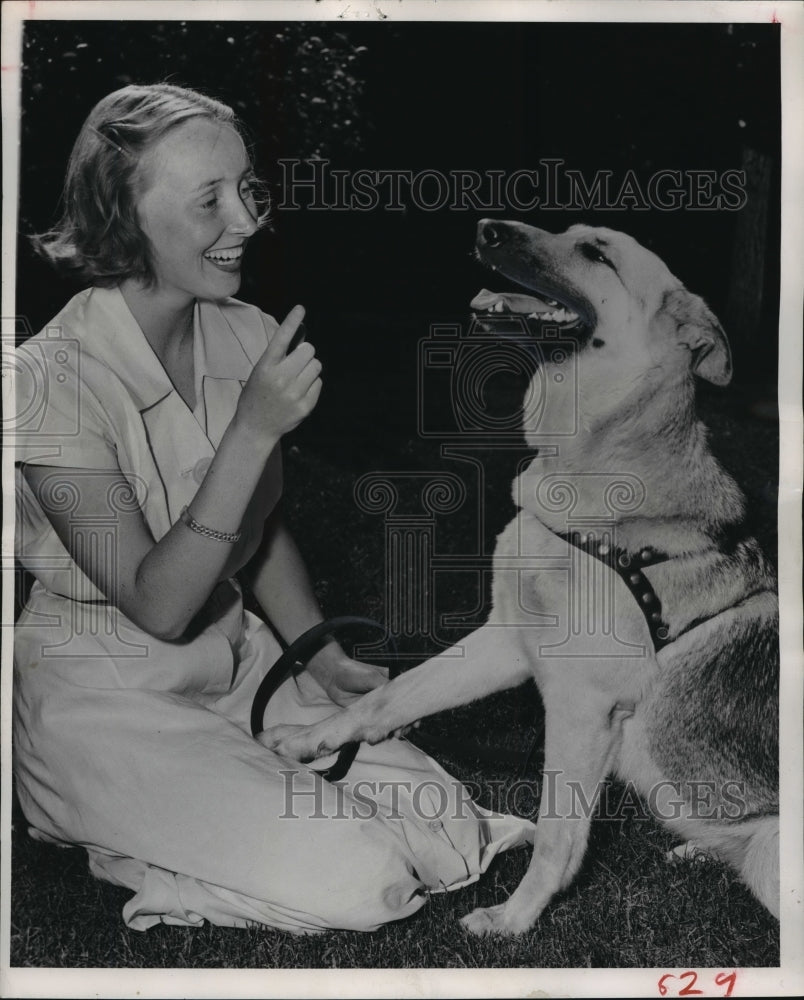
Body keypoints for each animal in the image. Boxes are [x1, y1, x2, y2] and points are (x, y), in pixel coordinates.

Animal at [266, 223, 780, 932]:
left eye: (595, 252)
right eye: (568, 231)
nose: (486, 229)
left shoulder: (582, 710)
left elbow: (559, 831)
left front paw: (515, 917)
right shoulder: (505, 641)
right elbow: (391, 695)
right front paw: (311, 740)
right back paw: (699, 851)